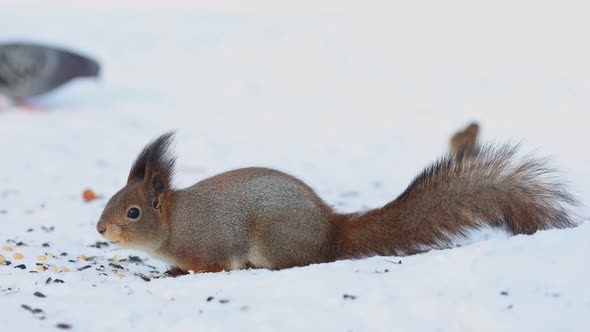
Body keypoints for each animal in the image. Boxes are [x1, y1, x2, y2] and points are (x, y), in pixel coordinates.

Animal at [96, 123, 580, 274]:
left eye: (133, 211)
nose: (100, 229)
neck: (173, 224)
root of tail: (331, 233)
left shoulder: (209, 244)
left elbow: (209, 265)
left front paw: (175, 274)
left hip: (273, 240)